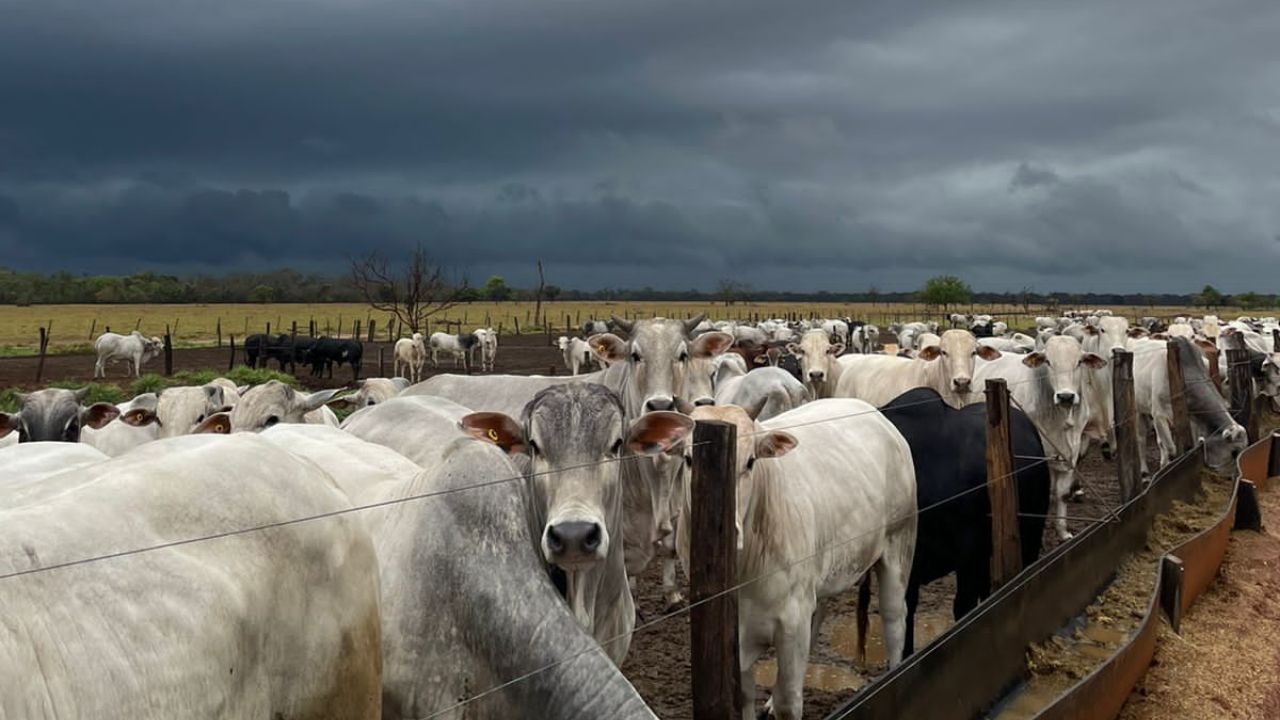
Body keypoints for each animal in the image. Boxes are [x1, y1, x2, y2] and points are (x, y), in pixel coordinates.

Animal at [675, 397, 916, 717]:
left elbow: (789, 701)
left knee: (894, 621)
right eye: (688, 459)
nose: (731, 531)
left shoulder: (791, 620)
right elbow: (744, 695)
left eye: (751, 461)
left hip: (898, 546)